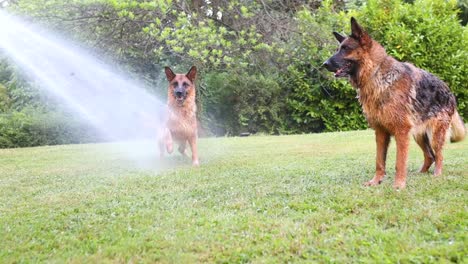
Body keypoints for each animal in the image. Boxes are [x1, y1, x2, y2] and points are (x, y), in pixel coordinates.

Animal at [324, 17, 466, 189]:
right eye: (339, 48)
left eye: (345, 49)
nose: (324, 64)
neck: (375, 74)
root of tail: (449, 91)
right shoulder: (380, 132)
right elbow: (379, 161)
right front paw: (376, 181)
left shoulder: (401, 132)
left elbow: (400, 162)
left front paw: (398, 185)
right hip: (418, 135)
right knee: (430, 155)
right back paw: (420, 173)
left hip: (435, 135)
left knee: (438, 155)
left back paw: (437, 175)